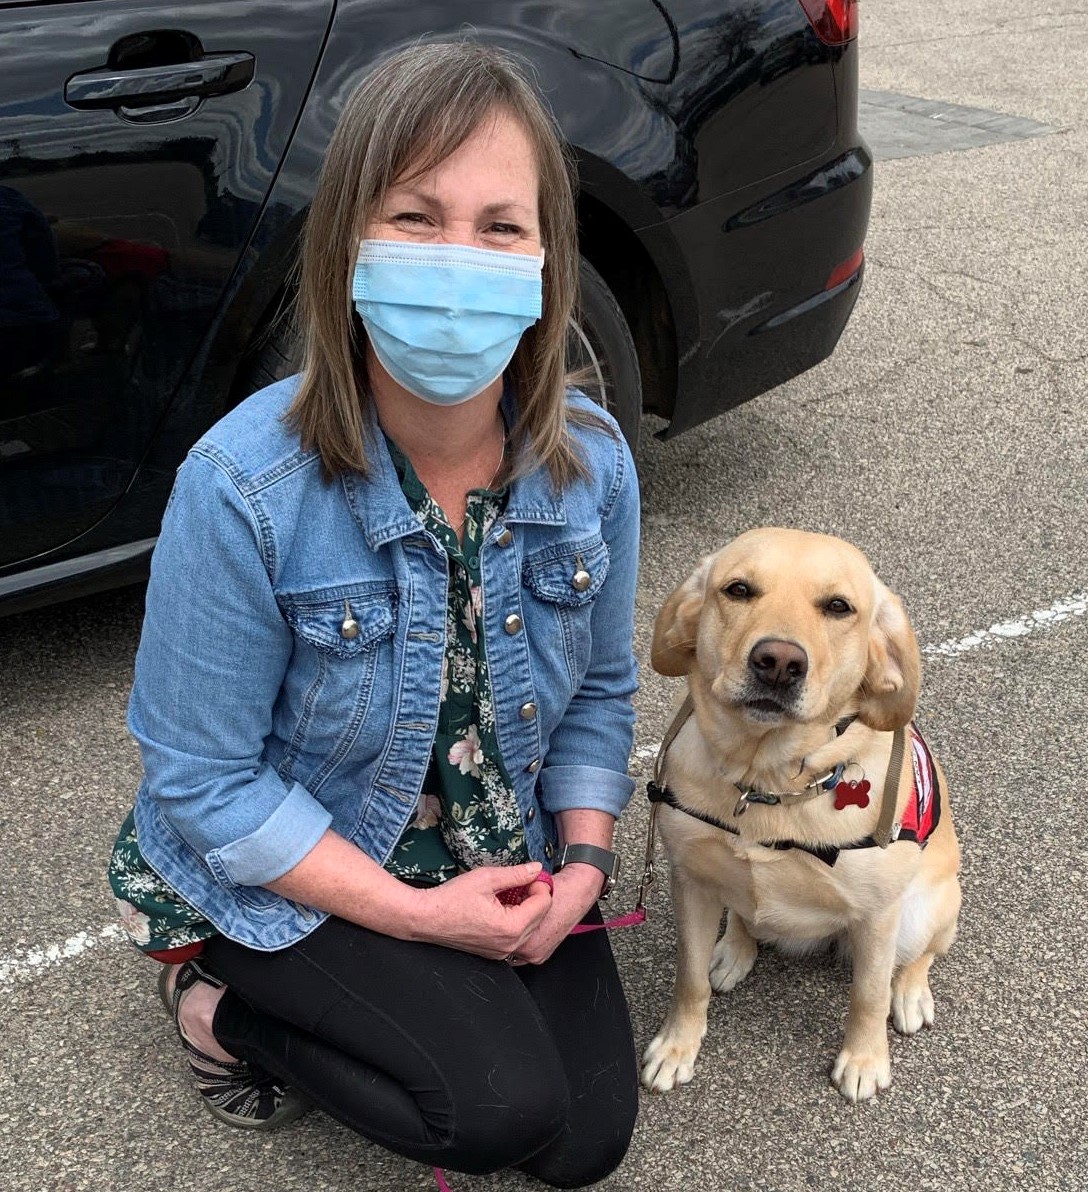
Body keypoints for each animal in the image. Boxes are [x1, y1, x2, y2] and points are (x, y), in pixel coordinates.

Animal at [638, 526, 958, 1101]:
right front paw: (678, 1046)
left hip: (923, 913)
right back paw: (733, 949)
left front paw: (864, 1059)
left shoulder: (879, 916)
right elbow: (689, 978)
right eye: (738, 590)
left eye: (839, 606)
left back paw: (911, 993)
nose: (779, 662)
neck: (765, 783)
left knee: (917, 958)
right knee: (743, 918)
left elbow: (868, 995)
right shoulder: (691, 883)